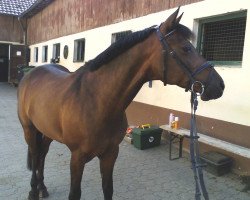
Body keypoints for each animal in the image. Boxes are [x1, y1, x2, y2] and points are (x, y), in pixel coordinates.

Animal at [17, 8, 225, 200]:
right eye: (185, 48)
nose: (219, 85)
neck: (97, 101)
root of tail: (31, 74)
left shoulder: (110, 154)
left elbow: (108, 189)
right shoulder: (77, 157)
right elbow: (74, 193)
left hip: (46, 131)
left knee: (42, 155)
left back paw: (42, 188)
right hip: (29, 129)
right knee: (35, 155)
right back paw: (33, 191)